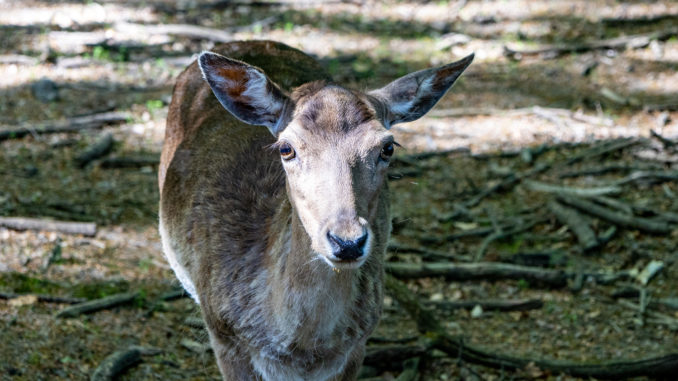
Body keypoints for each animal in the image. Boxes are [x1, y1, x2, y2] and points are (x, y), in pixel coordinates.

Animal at [159, 40, 472, 378]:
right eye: (287, 148)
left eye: (387, 147)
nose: (347, 241)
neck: (302, 352)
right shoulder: (223, 333)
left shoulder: (357, 346)